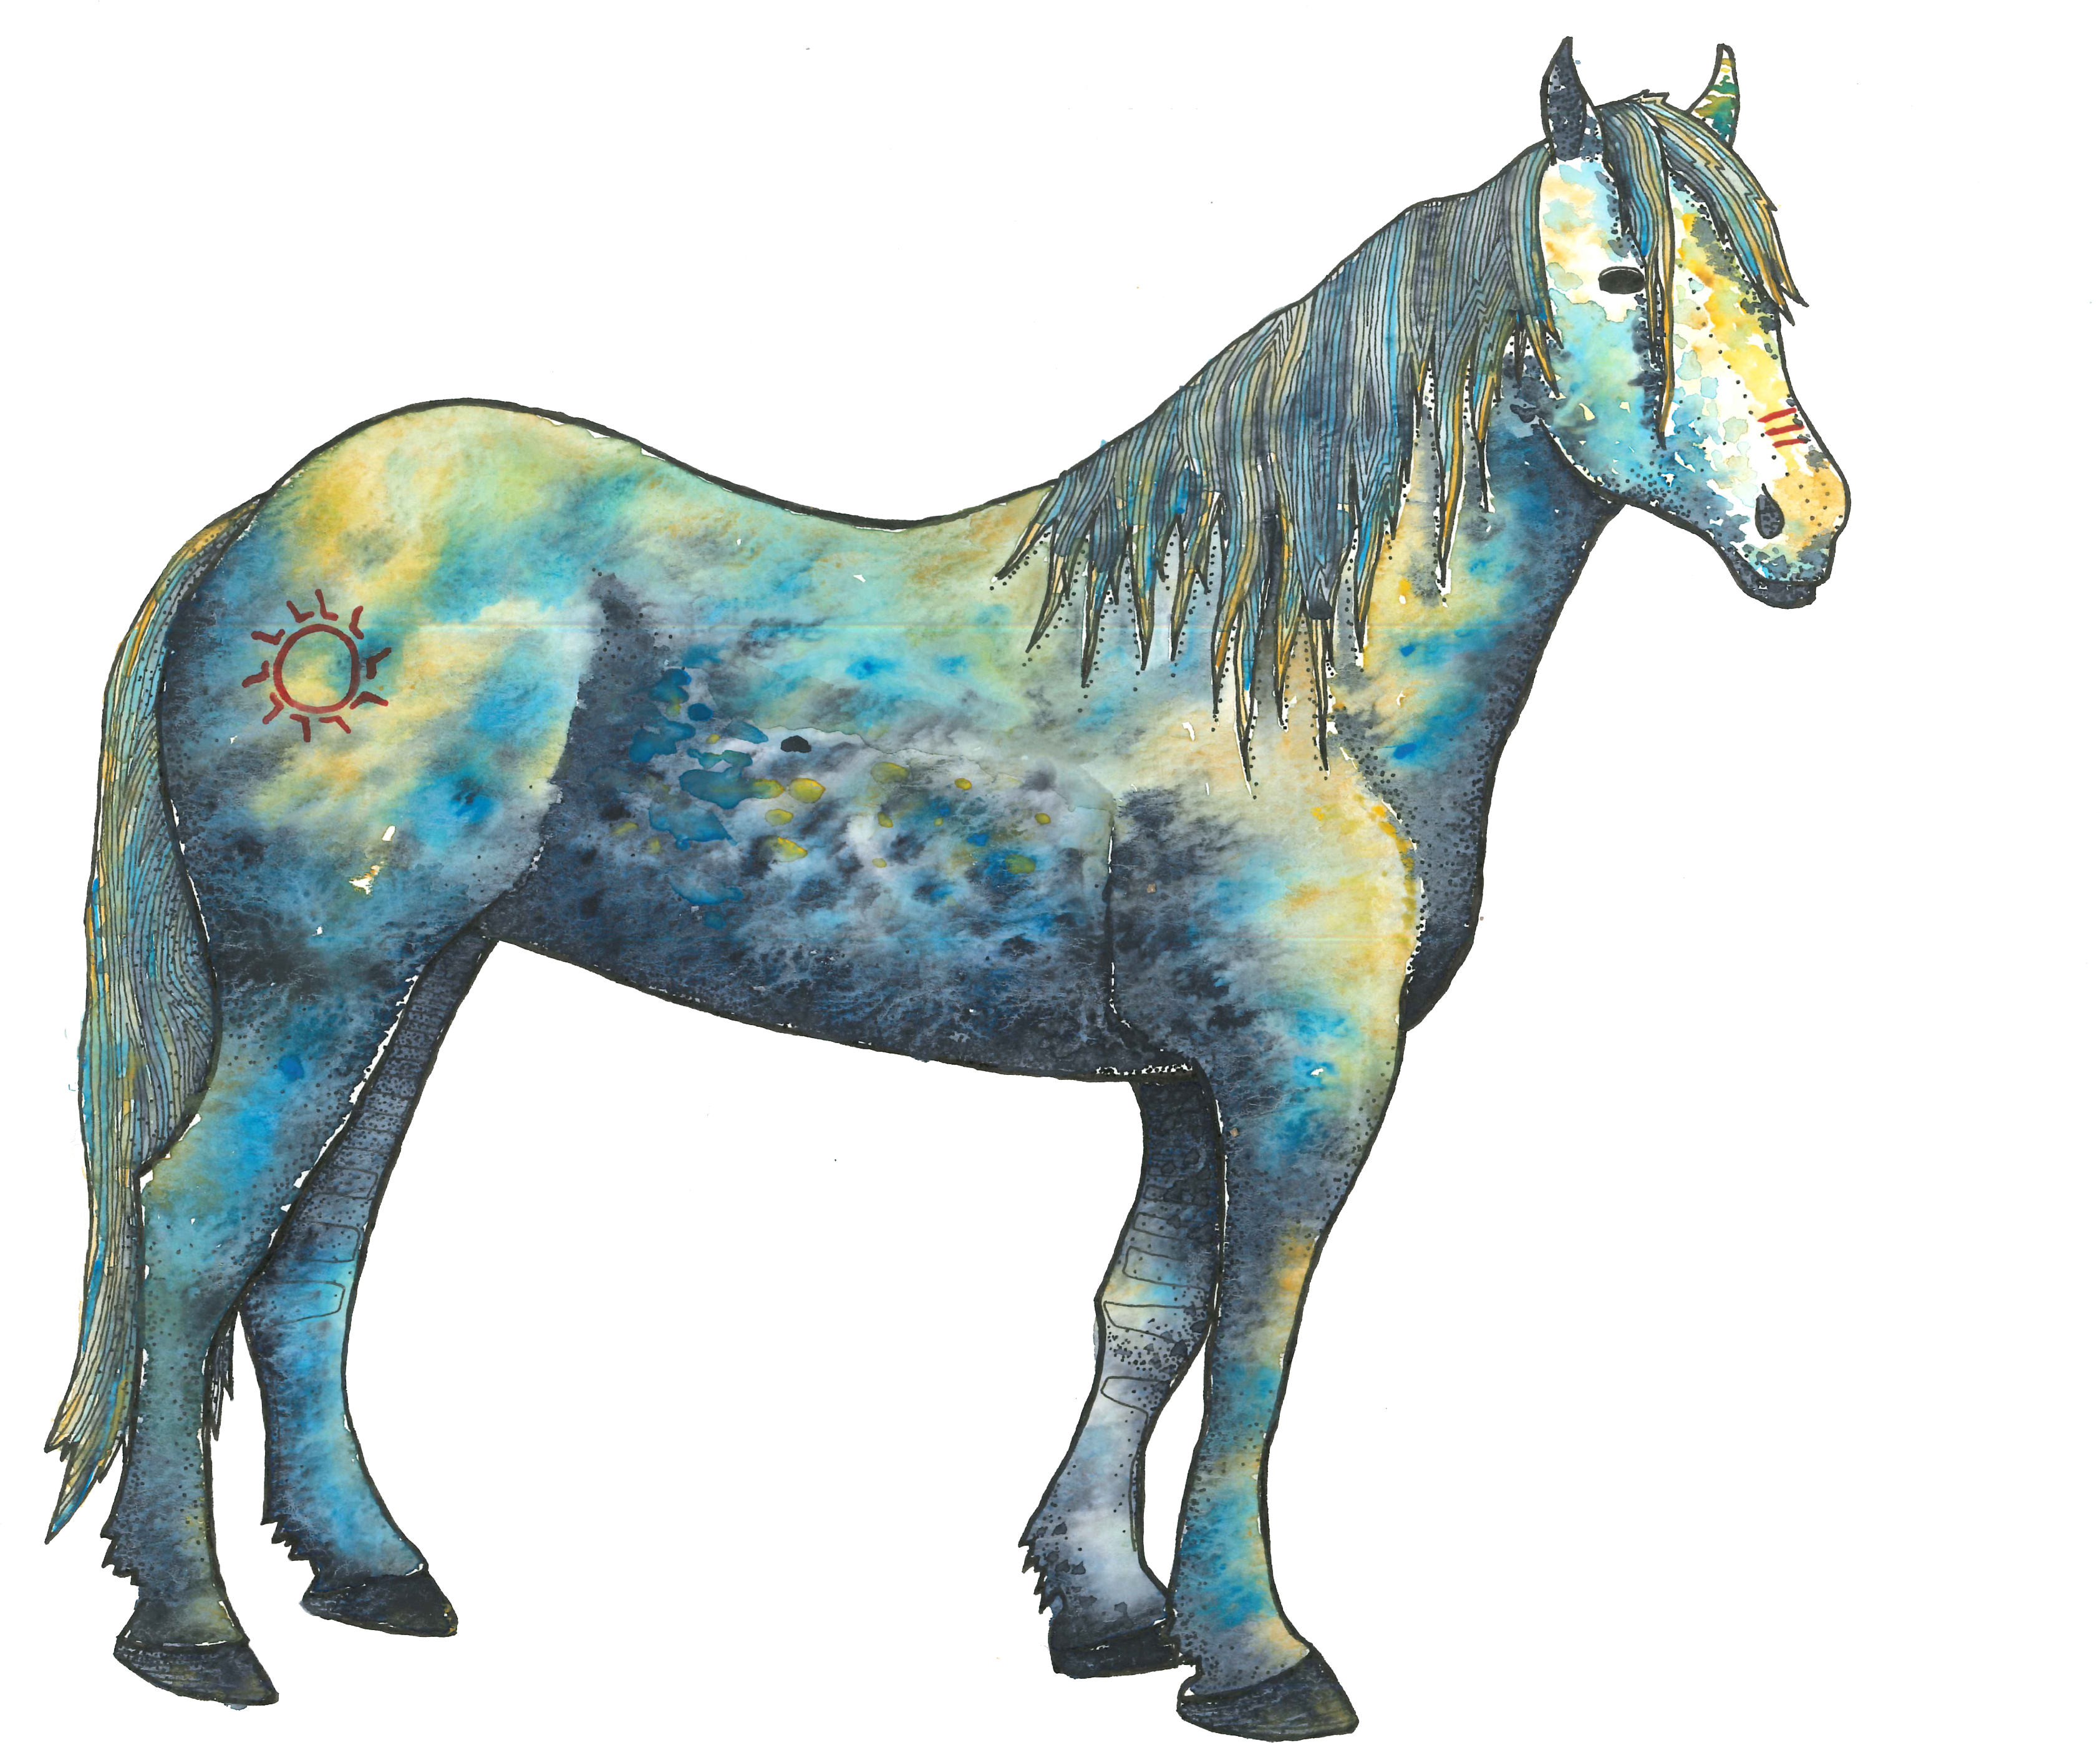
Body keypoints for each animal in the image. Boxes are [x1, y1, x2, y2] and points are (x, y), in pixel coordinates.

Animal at [47, 39, 1846, 1737]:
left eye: (1760, 283)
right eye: (1617, 279)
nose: (1801, 520)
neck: (1278, 675)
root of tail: (257, 529)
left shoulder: (1184, 1083)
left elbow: (1146, 1318)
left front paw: (1110, 1610)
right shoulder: (1304, 1078)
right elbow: (1255, 1343)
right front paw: (1256, 1653)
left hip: (418, 979)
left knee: (311, 1241)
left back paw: (366, 1570)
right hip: (323, 978)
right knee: (195, 1222)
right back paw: (194, 1628)